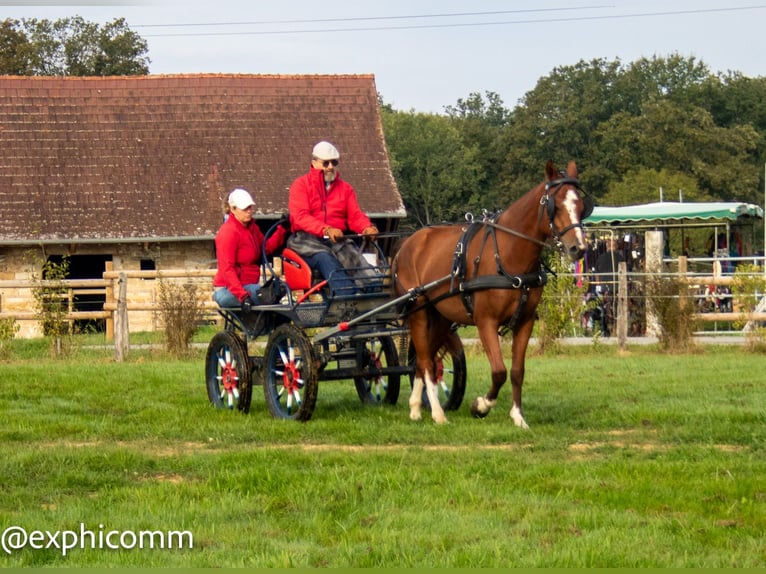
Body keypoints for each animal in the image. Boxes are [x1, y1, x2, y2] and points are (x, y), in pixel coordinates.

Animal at [392, 161, 592, 428]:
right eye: (555, 205)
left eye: (580, 205)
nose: (578, 248)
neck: (508, 255)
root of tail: (407, 243)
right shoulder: (485, 321)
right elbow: (499, 371)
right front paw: (480, 406)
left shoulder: (525, 322)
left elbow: (517, 371)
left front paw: (518, 416)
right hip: (419, 311)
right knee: (424, 361)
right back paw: (437, 413)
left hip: (442, 316)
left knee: (427, 359)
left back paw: (415, 407)